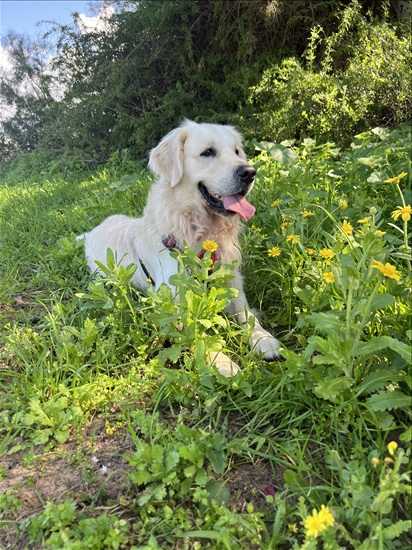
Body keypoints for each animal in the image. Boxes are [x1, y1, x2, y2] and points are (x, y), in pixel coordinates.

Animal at [79, 120, 280, 378]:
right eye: (208, 152)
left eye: (236, 151)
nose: (249, 172)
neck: (199, 232)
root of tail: (91, 233)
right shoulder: (174, 299)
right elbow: (198, 332)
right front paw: (223, 362)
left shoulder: (231, 280)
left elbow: (246, 313)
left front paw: (263, 339)